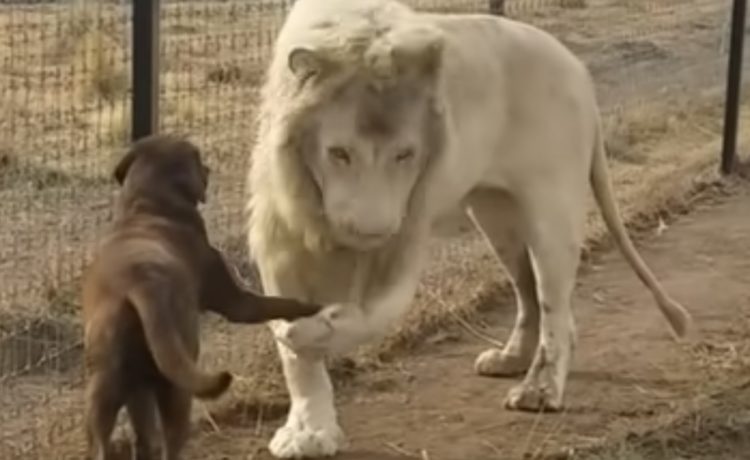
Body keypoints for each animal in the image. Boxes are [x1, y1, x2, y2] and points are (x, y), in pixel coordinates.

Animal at [83, 135, 324, 460]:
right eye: (198, 159)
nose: (209, 168)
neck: (148, 207)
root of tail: (142, 284)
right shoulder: (238, 302)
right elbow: (278, 304)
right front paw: (315, 306)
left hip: (112, 386)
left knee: (121, 441)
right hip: (177, 385)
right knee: (171, 442)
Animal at [247, 0, 692, 456]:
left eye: (405, 154)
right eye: (339, 152)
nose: (370, 229)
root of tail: (578, 71)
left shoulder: (407, 228)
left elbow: (367, 315)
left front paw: (304, 333)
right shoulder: (282, 233)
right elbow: (299, 362)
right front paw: (308, 430)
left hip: (552, 212)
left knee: (553, 303)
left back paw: (540, 391)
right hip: (496, 217)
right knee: (532, 296)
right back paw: (511, 360)